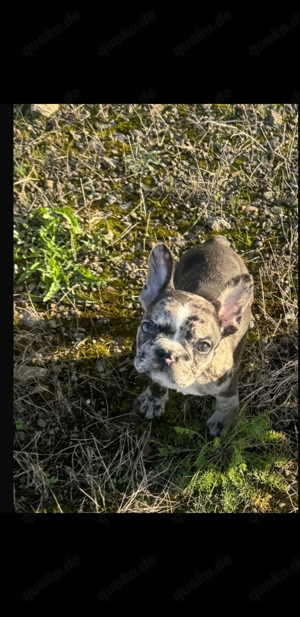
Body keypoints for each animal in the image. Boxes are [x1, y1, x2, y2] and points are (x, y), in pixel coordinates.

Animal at [134, 233, 253, 436]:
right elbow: (155, 383)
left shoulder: (227, 382)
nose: (167, 353)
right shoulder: (149, 368)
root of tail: (216, 241)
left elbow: (228, 401)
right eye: (147, 327)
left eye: (203, 346)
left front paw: (223, 421)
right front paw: (153, 400)